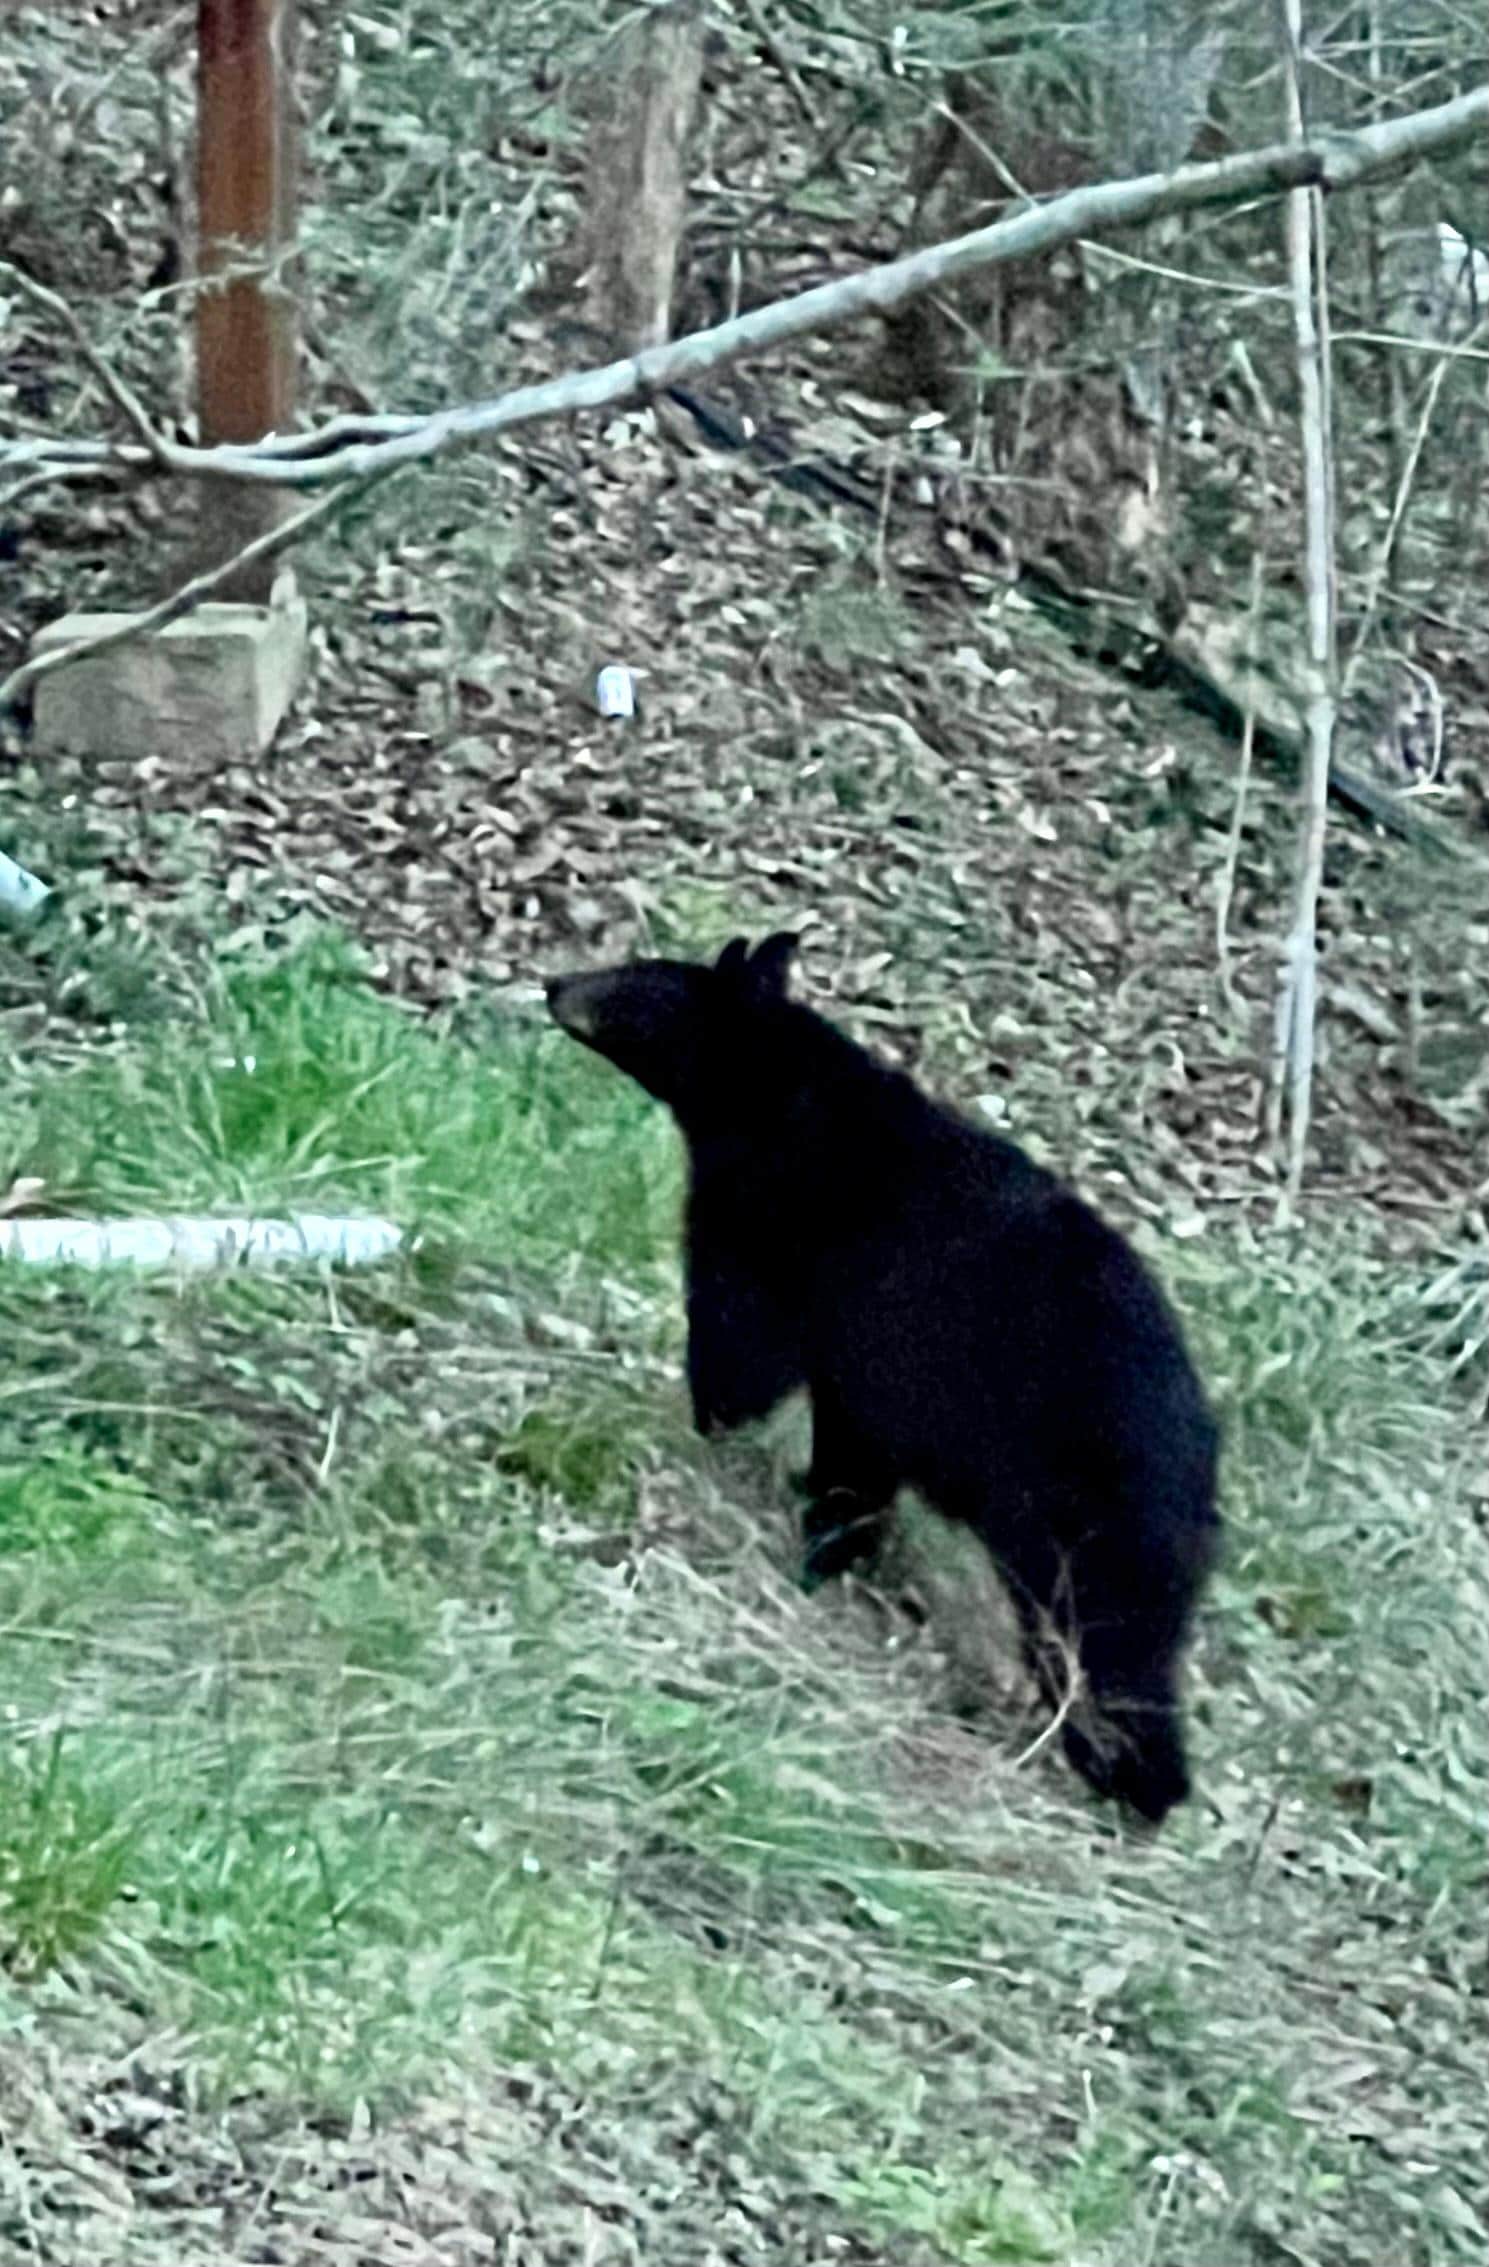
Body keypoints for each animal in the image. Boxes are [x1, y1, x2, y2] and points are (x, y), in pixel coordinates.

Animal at [546, 933, 1220, 1824]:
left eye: (634, 981)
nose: (553, 983)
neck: (772, 1097)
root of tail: (1199, 1456)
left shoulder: (772, 1224)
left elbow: (741, 1343)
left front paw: (720, 1435)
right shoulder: (864, 1366)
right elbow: (848, 1445)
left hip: (1084, 1514)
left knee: (1108, 1643)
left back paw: (1125, 1775)